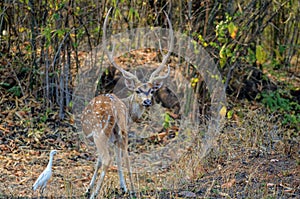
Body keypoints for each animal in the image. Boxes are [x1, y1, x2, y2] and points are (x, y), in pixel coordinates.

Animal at [80, 7, 173, 198]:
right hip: (118, 131)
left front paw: (89, 189)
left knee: (108, 159)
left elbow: (101, 160)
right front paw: (123, 187)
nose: (147, 101)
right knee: (122, 156)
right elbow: (117, 158)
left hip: (101, 131)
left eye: (152, 90)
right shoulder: (118, 134)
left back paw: (97, 193)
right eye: (138, 90)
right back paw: (131, 189)